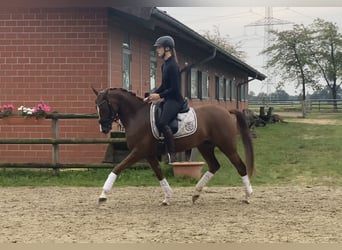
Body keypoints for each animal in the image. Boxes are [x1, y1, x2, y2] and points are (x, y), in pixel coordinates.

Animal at [93, 88, 254, 205]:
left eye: (103, 106)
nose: (104, 128)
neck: (136, 115)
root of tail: (226, 111)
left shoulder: (138, 151)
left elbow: (117, 168)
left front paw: (103, 195)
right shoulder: (148, 154)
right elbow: (159, 173)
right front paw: (167, 197)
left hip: (227, 146)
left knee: (240, 166)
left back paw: (248, 196)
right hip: (205, 146)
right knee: (214, 166)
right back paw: (196, 194)